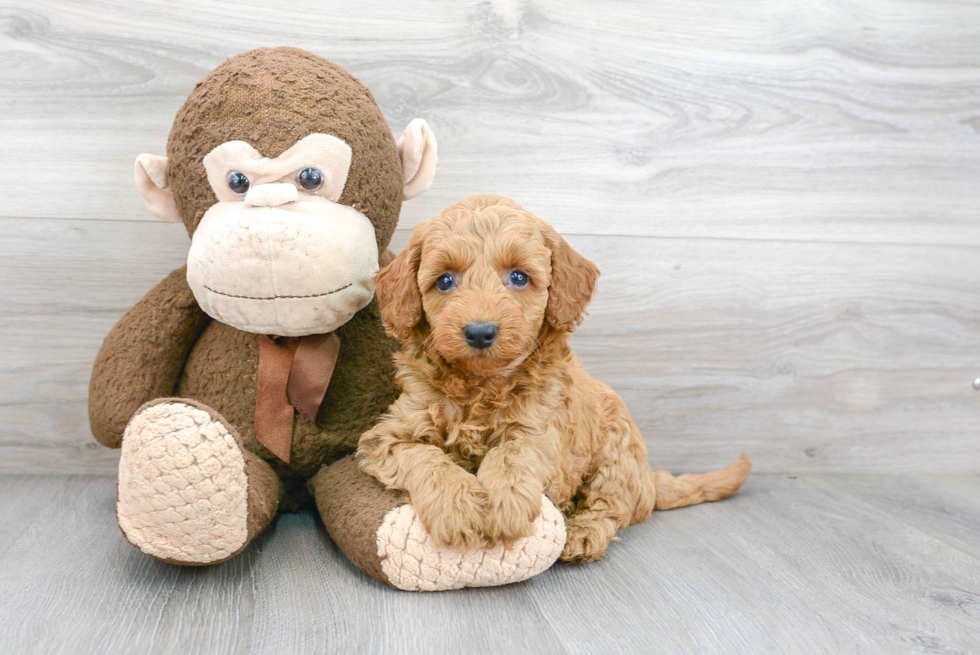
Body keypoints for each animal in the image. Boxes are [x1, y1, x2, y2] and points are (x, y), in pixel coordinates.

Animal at [360, 196, 752, 564]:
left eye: (519, 277)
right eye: (444, 280)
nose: (480, 332)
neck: (481, 386)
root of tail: (648, 480)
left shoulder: (545, 430)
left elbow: (513, 453)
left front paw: (504, 506)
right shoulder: (387, 436)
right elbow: (425, 456)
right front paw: (458, 507)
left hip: (616, 453)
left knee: (613, 507)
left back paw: (583, 534)